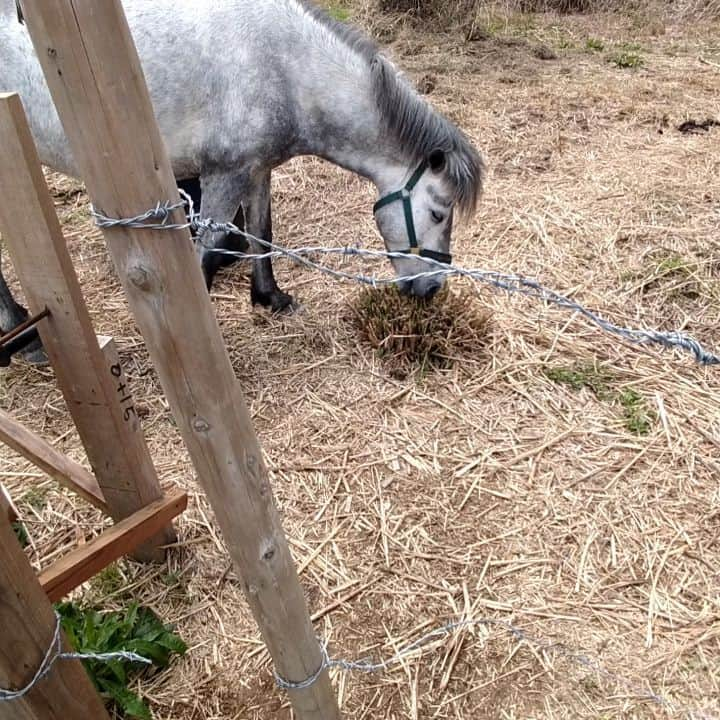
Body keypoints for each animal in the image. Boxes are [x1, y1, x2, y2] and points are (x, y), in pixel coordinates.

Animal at [1, 0, 484, 360]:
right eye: (438, 213)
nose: (431, 288)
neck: (285, 68)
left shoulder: (255, 170)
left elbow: (260, 233)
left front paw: (269, 297)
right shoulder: (223, 176)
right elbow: (206, 252)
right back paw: (22, 338)